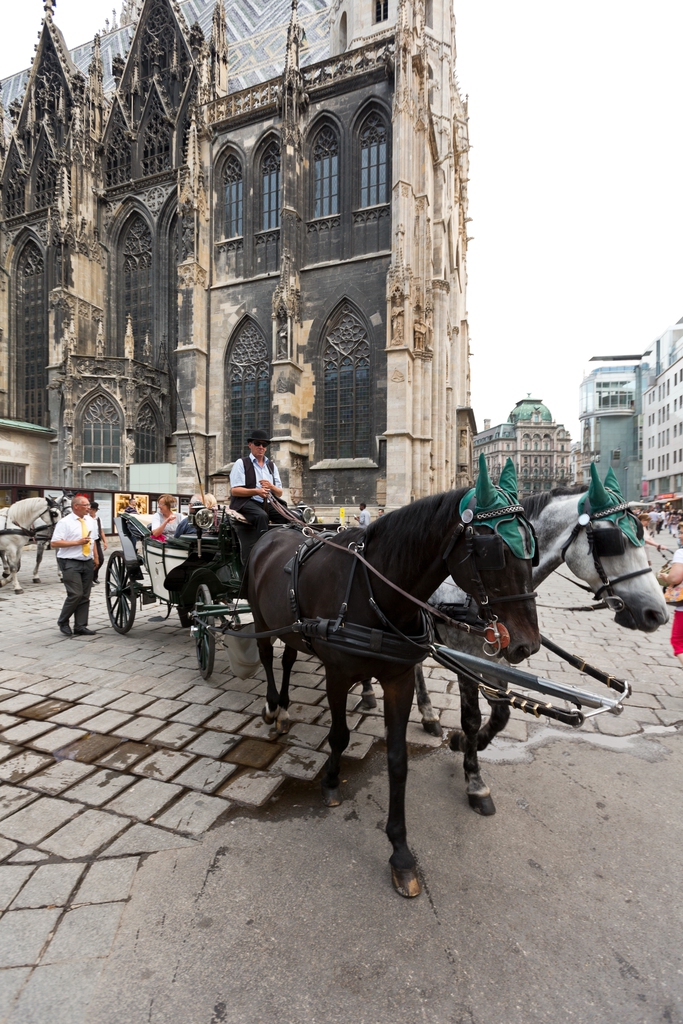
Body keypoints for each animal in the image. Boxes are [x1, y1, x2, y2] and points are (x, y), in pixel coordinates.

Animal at [245, 483, 540, 892]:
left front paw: (400, 852)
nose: (527, 645)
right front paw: (331, 781)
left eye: (532, 546)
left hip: (291, 627)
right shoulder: (337, 675)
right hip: (260, 619)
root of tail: (274, 532)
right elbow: (339, 735)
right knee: (265, 655)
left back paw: (287, 708)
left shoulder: (399, 680)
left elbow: (398, 761)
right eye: (491, 549)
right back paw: (274, 708)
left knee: (288, 657)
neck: (375, 593)